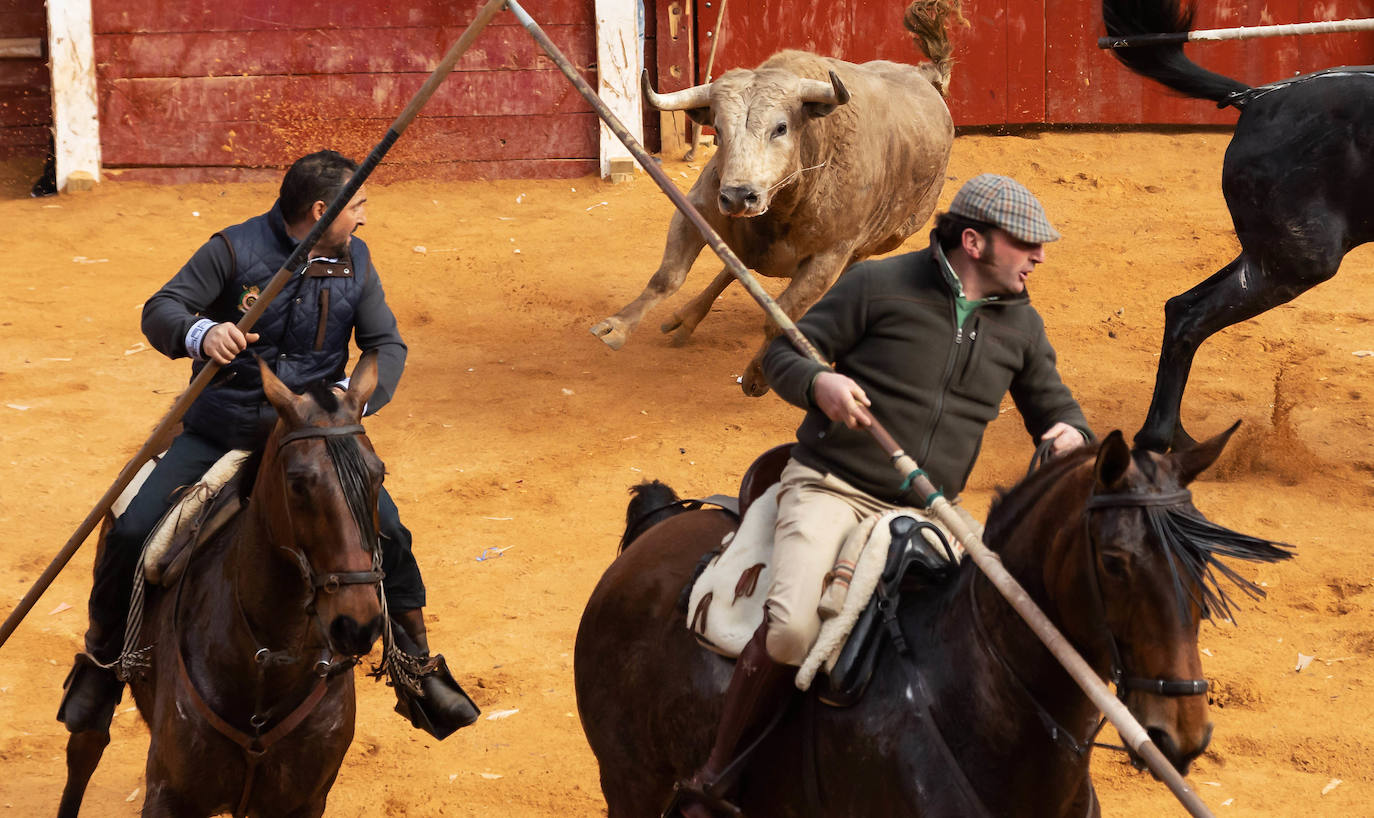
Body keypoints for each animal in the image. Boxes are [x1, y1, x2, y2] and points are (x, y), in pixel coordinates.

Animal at [59, 357, 390, 818]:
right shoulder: (169, 793)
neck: (269, 665)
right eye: (298, 483)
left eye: (379, 475)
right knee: (86, 743)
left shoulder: (305, 801)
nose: (356, 624)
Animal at [585, 0, 961, 395]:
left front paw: (756, 375)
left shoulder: (830, 256)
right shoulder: (698, 209)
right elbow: (668, 276)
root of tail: (927, 78)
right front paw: (616, 327)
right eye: (718, 129)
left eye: (780, 127)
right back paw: (686, 318)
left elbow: (781, 318)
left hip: (890, 237)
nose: (739, 196)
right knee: (736, 265)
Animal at [1099, 0, 1374, 450]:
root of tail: (1256, 99)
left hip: (1268, 253)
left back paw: (1179, 438)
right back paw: (1158, 439)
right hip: (1299, 259)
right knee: (1192, 318)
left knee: (1180, 306)